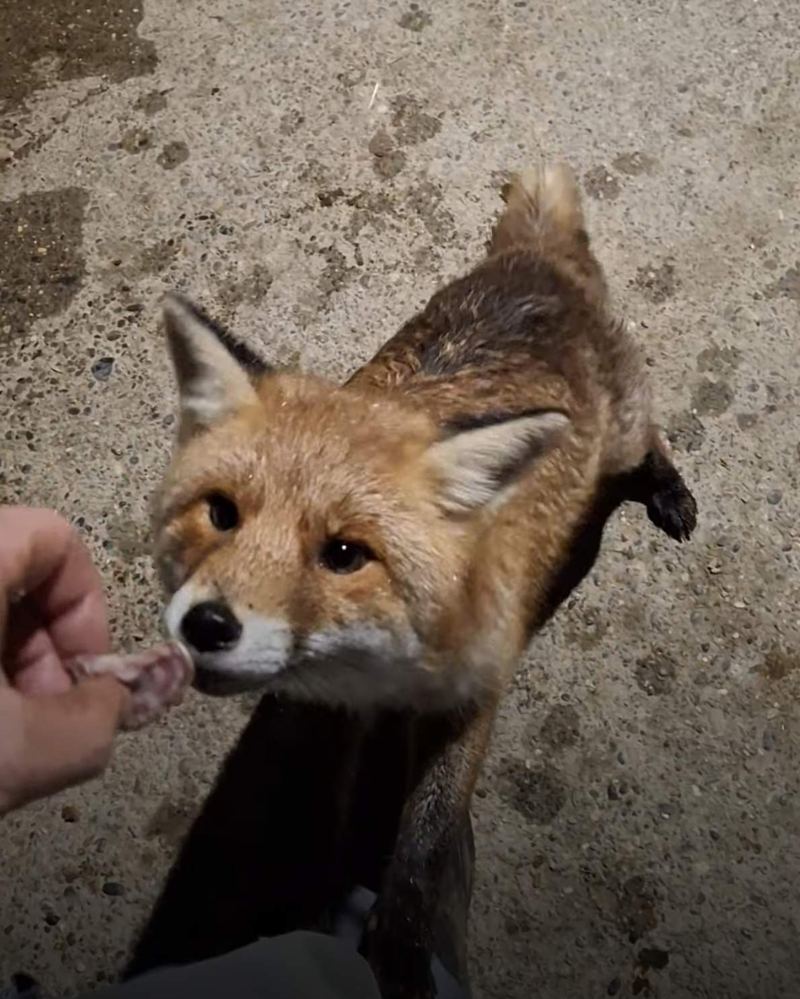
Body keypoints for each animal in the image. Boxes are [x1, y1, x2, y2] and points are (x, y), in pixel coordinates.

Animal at [146, 162, 696, 998]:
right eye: (221, 513)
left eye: (345, 552)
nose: (205, 625)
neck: (387, 665)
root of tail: (530, 262)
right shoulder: (336, 707)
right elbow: (330, 825)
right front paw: (326, 908)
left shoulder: (471, 692)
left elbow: (424, 847)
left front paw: (402, 954)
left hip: (629, 436)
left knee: (654, 441)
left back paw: (668, 489)